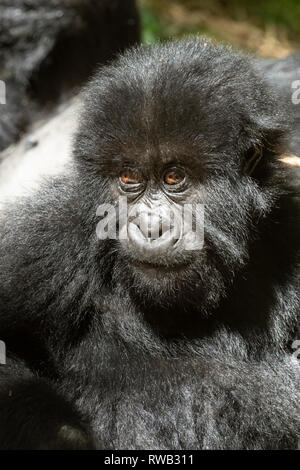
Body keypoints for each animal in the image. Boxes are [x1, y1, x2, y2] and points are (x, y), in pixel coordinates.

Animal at [0, 38, 300, 450]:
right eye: (129, 177)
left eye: (174, 177)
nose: (150, 227)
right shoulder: (47, 238)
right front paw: (62, 434)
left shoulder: (289, 235)